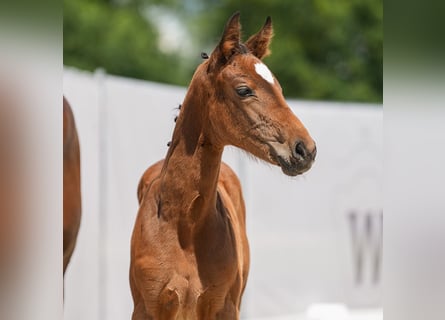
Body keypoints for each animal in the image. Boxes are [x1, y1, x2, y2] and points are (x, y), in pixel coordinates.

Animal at [129, 13, 316, 320]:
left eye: (279, 88)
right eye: (243, 90)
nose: (306, 149)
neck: (184, 224)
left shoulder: (224, 307)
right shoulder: (147, 308)